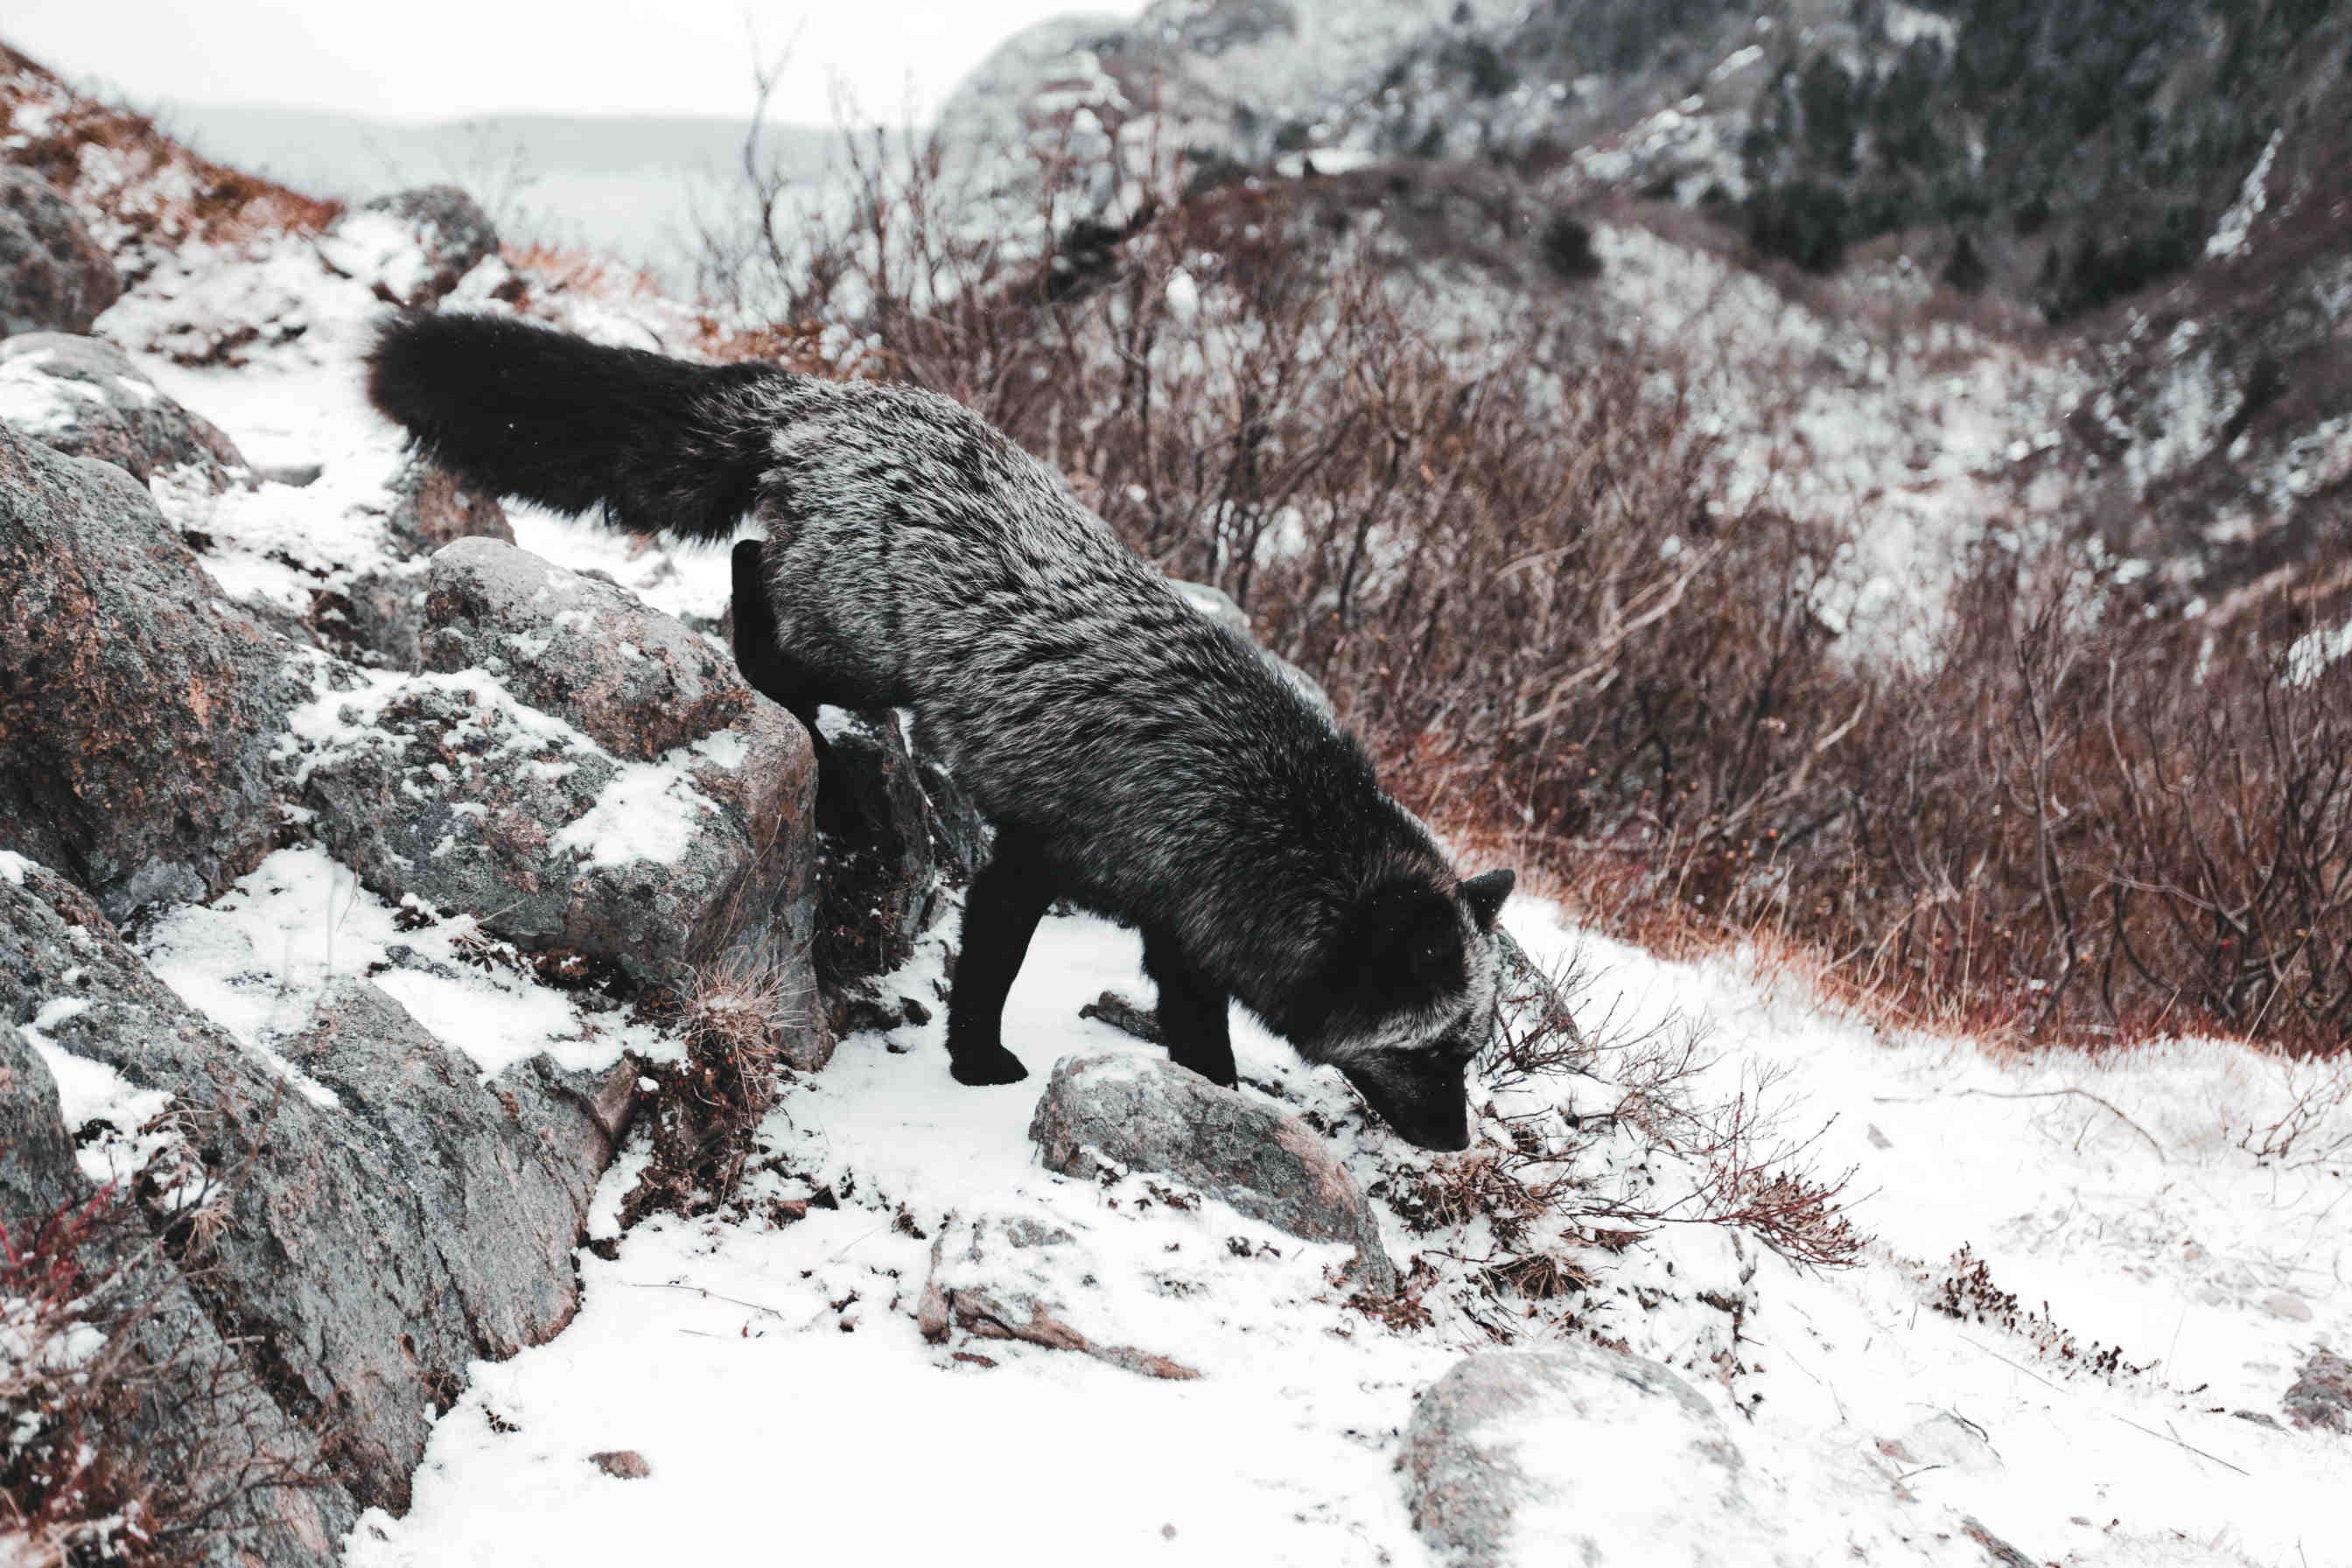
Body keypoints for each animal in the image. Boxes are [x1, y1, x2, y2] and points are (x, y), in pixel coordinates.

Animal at [364, 312, 1512, 1150]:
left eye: (1471, 1047)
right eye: (1434, 1053)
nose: (1457, 1143)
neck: (1253, 802)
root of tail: (829, 402)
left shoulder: (1179, 927)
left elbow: (1202, 1039)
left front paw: (1211, 1106)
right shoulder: (1038, 854)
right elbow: (991, 968)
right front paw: (978, 1064)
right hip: (858, 645)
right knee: (751, 585)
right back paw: (808, 733)